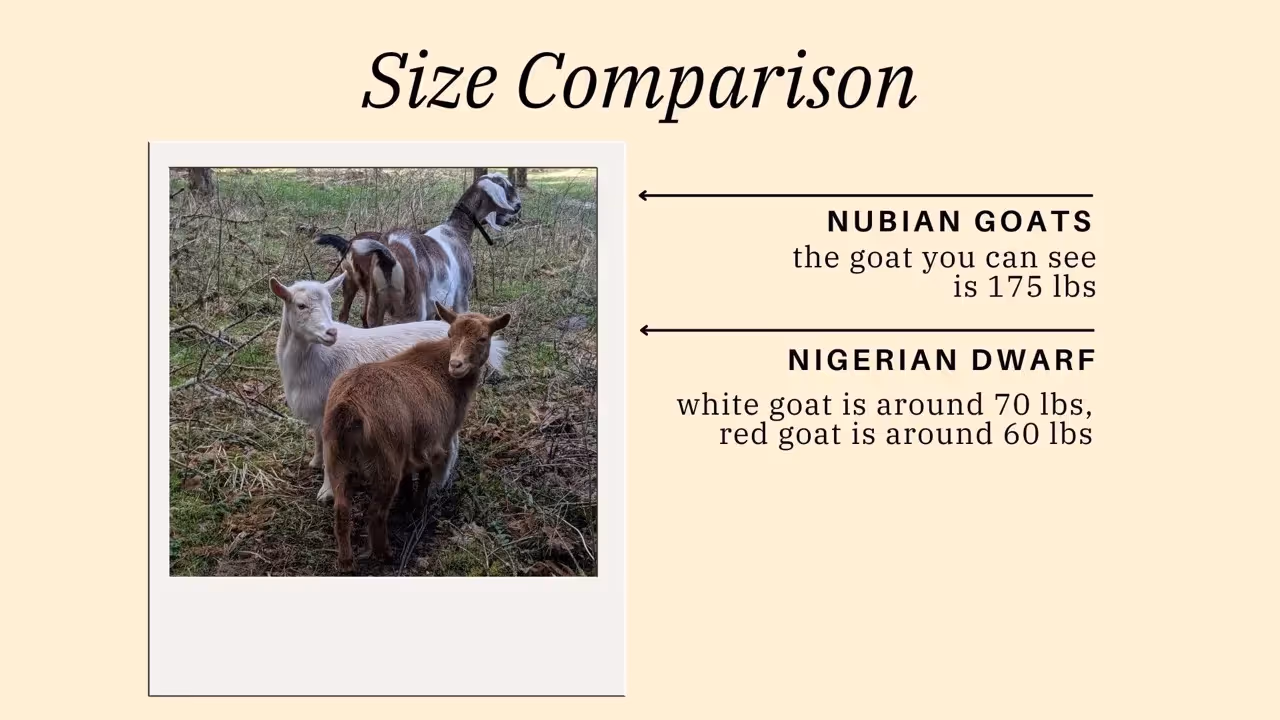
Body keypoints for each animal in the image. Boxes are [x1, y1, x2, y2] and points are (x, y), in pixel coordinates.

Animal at [269, 274, 508, 503]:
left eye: (330, 304)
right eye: (301, 305)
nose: (331, 332)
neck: (313, 358)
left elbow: (330, 451)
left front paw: (326, 491)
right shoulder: (317, 410)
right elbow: (318, 440)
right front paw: (316, 462)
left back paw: (438, 484)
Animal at [313, 172, 522, 328]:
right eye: (507, 187)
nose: (519, 207)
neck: (455, 230)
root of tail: (388, 257)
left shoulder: (435, 309)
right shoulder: (460, 299)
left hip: (374, 308)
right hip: (412, 311)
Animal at [322, 302, 511, 572]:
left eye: (482, 338)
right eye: (450, 334)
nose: (456, 365)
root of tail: (348, 409)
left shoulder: (411, 447)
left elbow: (409, 478)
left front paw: (408, 502)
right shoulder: (437, 439)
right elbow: (425, 475)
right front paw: (419, 505)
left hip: (336, 460)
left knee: (341, 511)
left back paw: (346, 562)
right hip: (384, 463)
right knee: (376, 513)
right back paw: (386, 555)